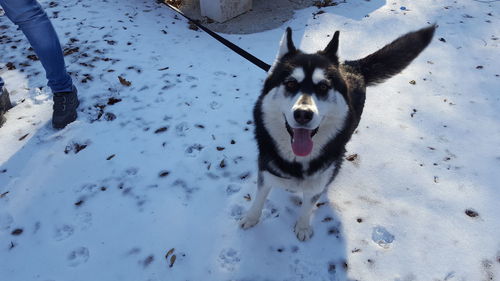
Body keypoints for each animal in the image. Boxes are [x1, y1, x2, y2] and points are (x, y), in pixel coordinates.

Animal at [240, 24, 436, 238]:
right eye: (291, 83)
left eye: (323, 87)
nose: (303, 114)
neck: (298, 161)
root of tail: (351, 66)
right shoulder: (265, 168)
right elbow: (260, 196)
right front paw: (251, 218)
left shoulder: (317, 180)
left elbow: (309, 203)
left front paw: (303, 226)